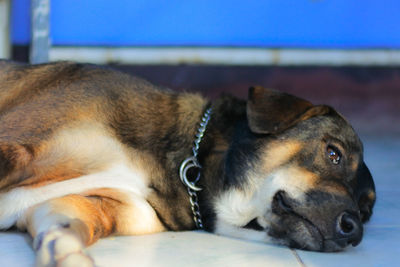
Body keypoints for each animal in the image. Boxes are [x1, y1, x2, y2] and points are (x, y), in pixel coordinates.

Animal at [0, 61, 376, 267]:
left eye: (366, 210)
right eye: (333, 153)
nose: (354, 230)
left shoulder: (75, 208)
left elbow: (61, 239)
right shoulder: (16, 149)